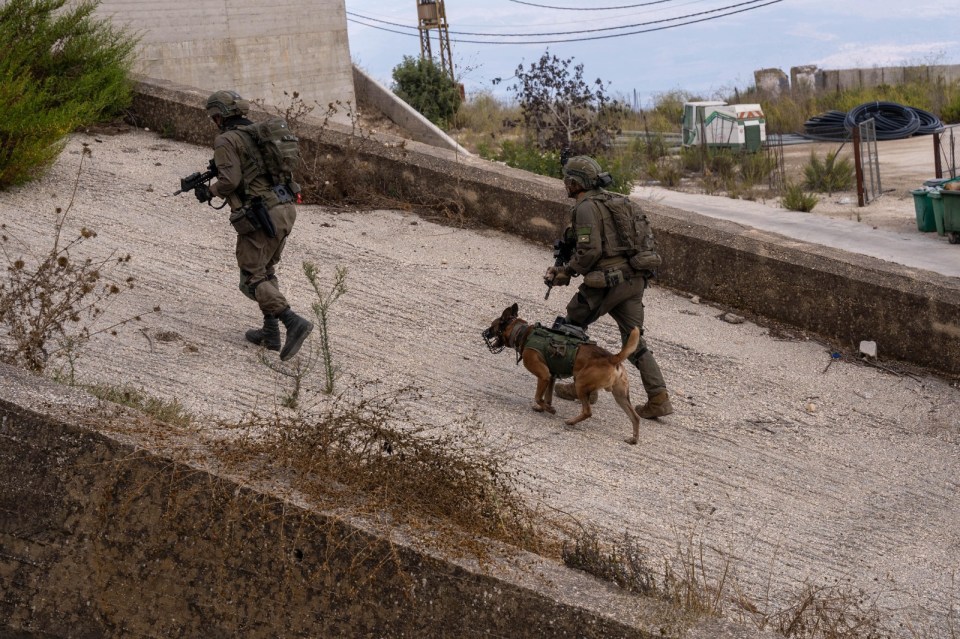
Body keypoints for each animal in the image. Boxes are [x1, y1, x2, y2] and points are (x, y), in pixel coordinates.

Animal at [480, 304, 644, 444]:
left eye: (493, 326)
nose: (485, 333)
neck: (523, 332)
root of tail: (612, 358)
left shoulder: (544, 376)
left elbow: (538, 397)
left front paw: (549, 409)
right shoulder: (551, 377)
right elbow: (547, 398)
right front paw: (543, 408)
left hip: (580, 384)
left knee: (587, 411)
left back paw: (570, 421)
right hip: (620, 396)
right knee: (635, 417)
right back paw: (634, 439)